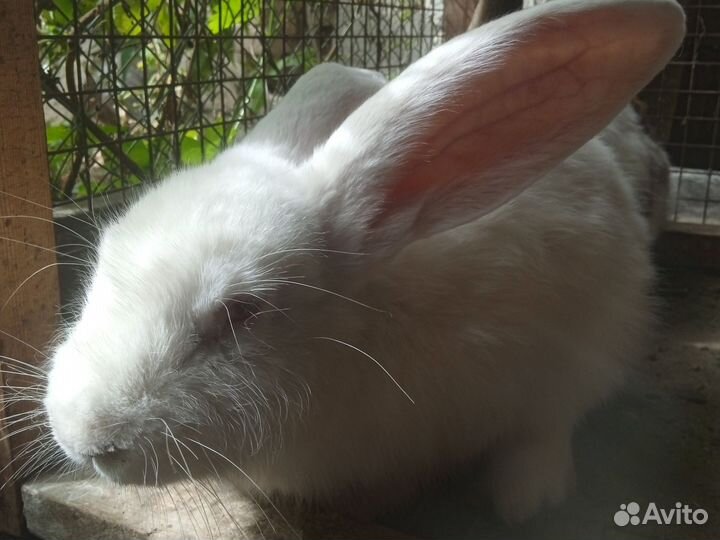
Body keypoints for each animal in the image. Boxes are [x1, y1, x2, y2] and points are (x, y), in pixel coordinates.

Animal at [43, 0, 685, 525]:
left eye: (239, 312)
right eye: (106, 256)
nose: (84, 440)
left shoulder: (570, 346)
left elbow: (546, 426)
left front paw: (530, 496)